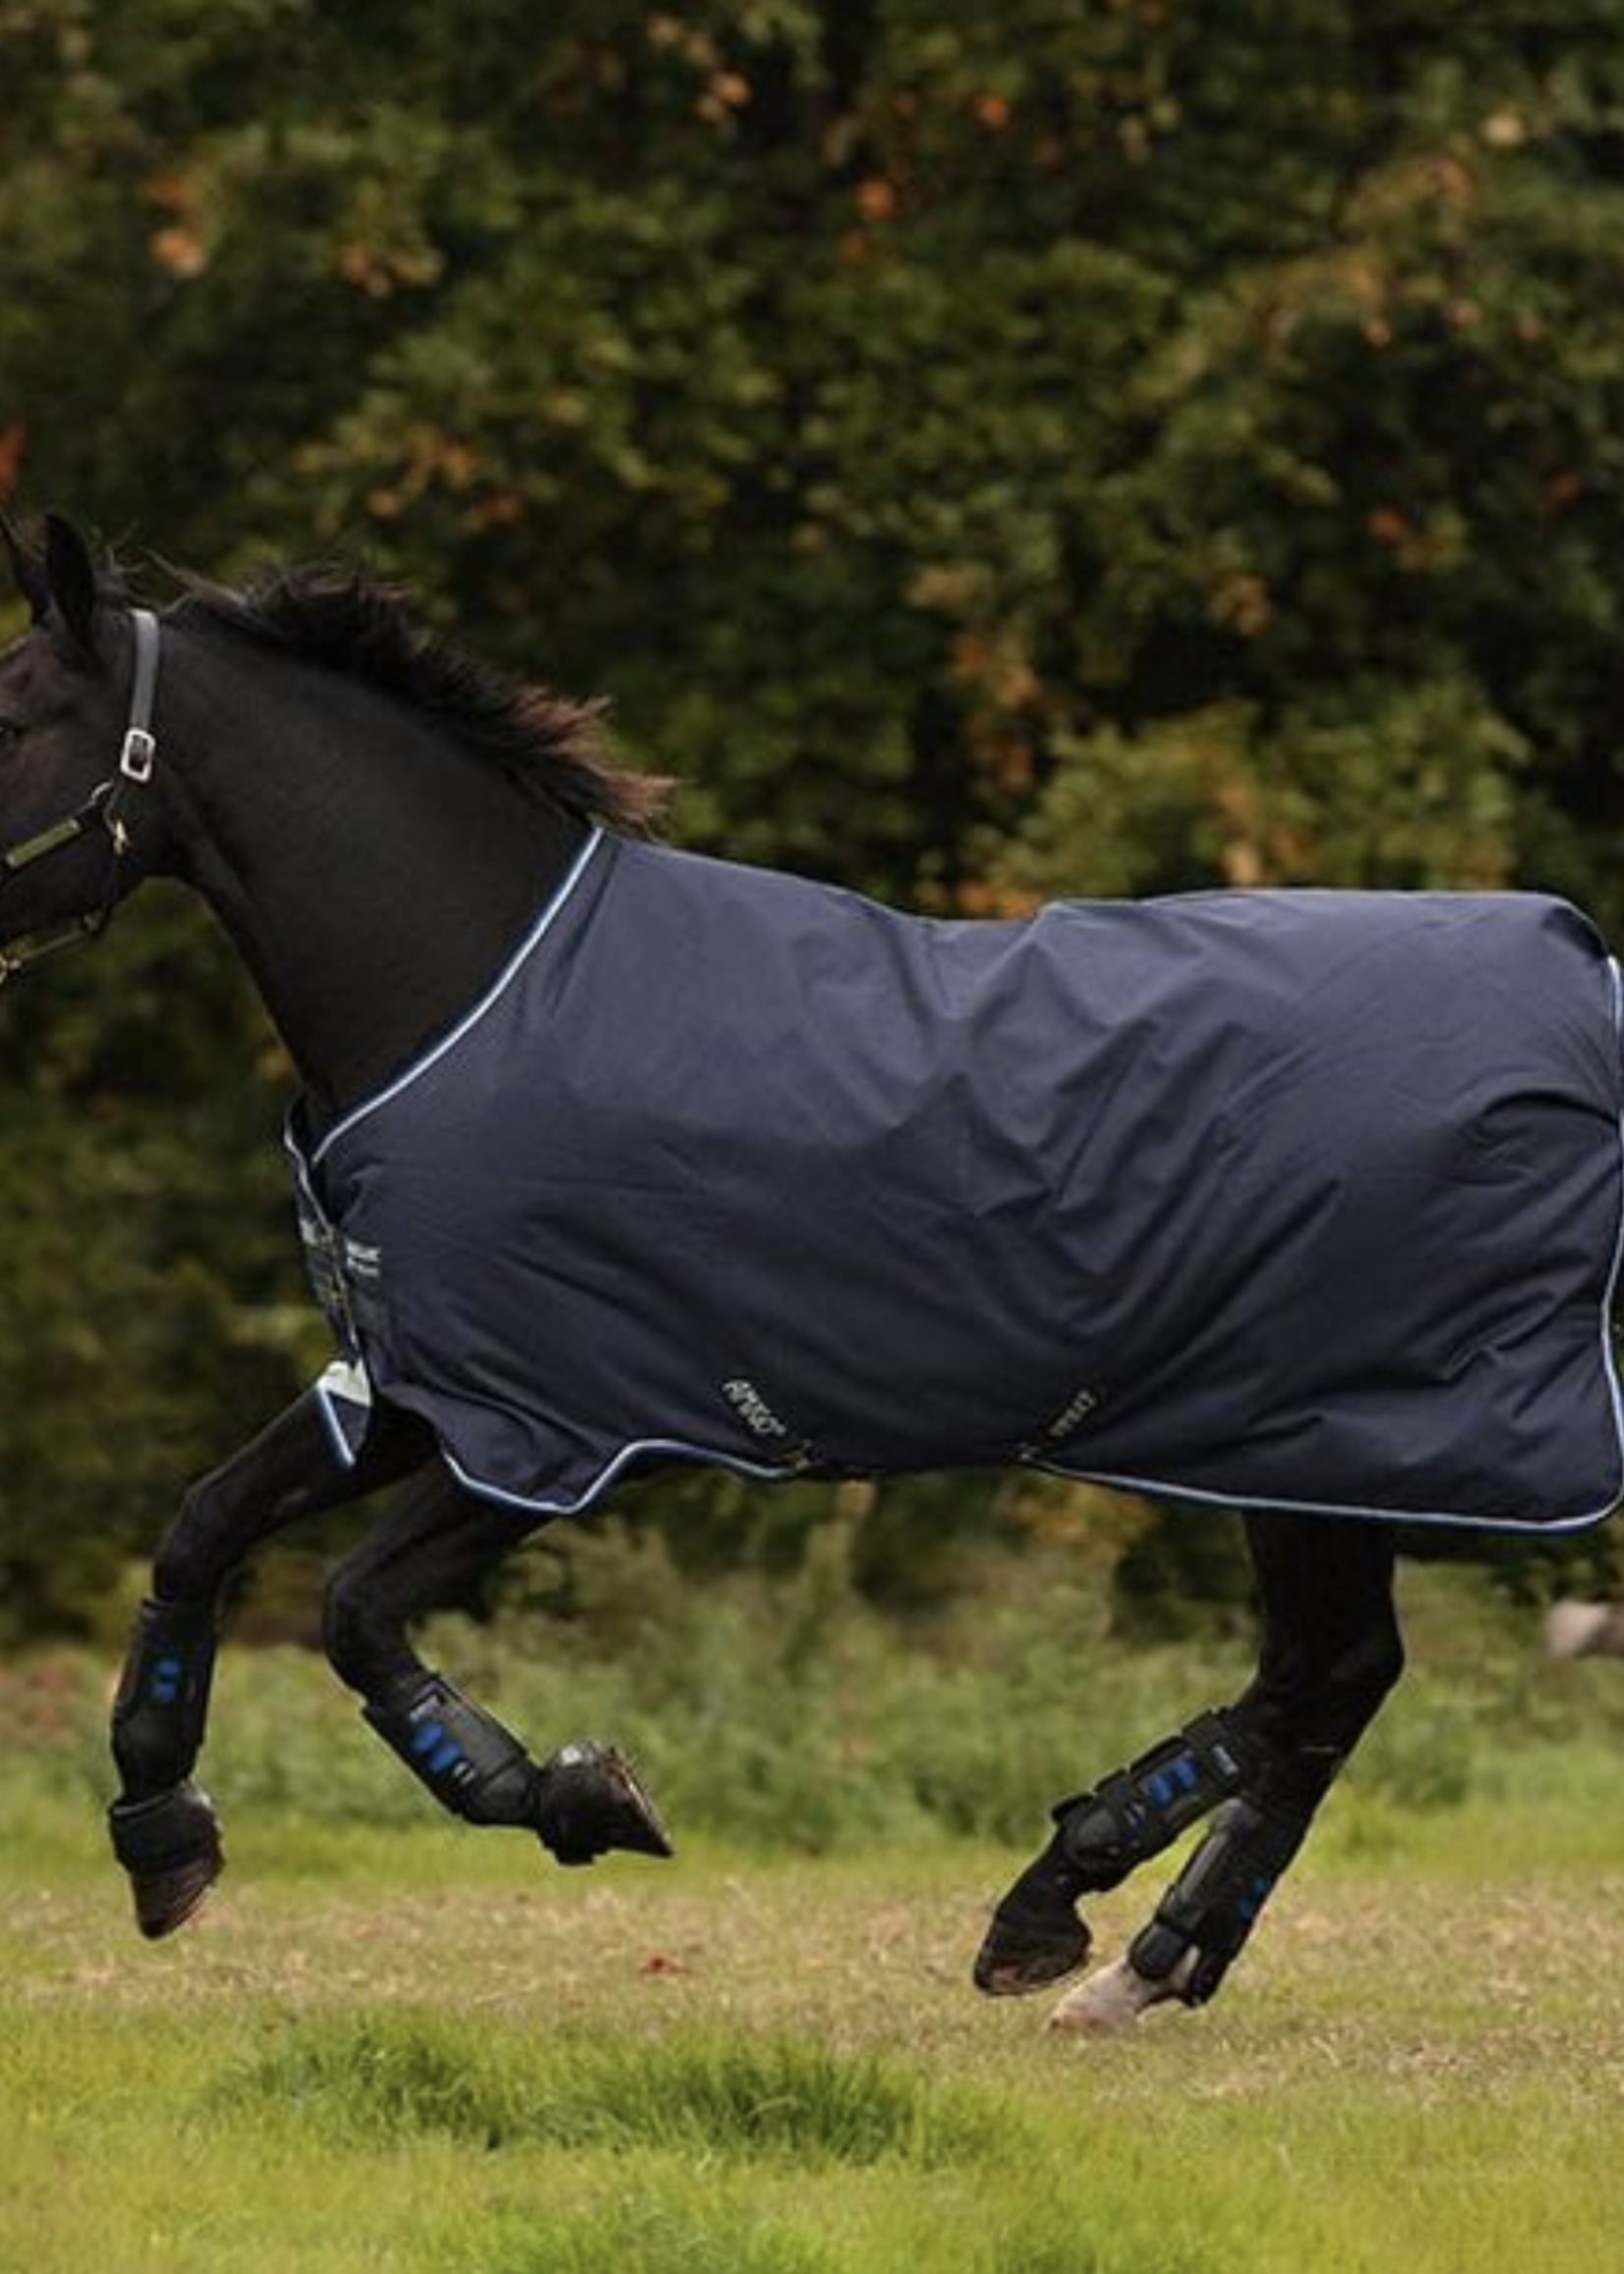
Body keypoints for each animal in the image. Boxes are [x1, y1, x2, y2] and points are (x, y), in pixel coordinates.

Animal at [3, 512, 1621, 2037]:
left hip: (1308, 1435)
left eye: (15, 715)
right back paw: (1143, 1960)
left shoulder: (562, 1429)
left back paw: (1059, 1904)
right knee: (1335, 1682)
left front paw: (579, 1797)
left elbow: (350, 1612)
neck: (468, 993)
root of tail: (1582, 989)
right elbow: (202, 1534)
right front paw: (161, 1842)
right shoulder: (415, 1386)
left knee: (1318, 1680)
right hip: (1315, 1450)